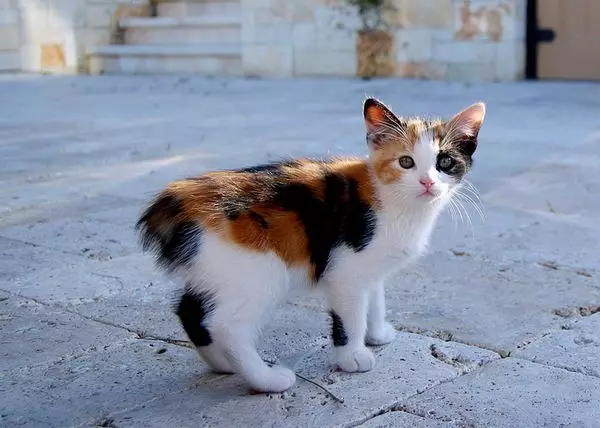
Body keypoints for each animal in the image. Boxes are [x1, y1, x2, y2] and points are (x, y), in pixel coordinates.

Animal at [135, 98, 482, 392]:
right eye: (406, 162)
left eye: (445, 161)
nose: (427, 182)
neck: (395, 201)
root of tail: (178, 200)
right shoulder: (345, 269)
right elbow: (350, 316)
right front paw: (353, 357)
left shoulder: (368, 266)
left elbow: (375, 297)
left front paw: (377, 333)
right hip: (258, 273)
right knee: (226, 326)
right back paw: (266, 379)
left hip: (215, 270)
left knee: (189, 310)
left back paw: (222, 364)